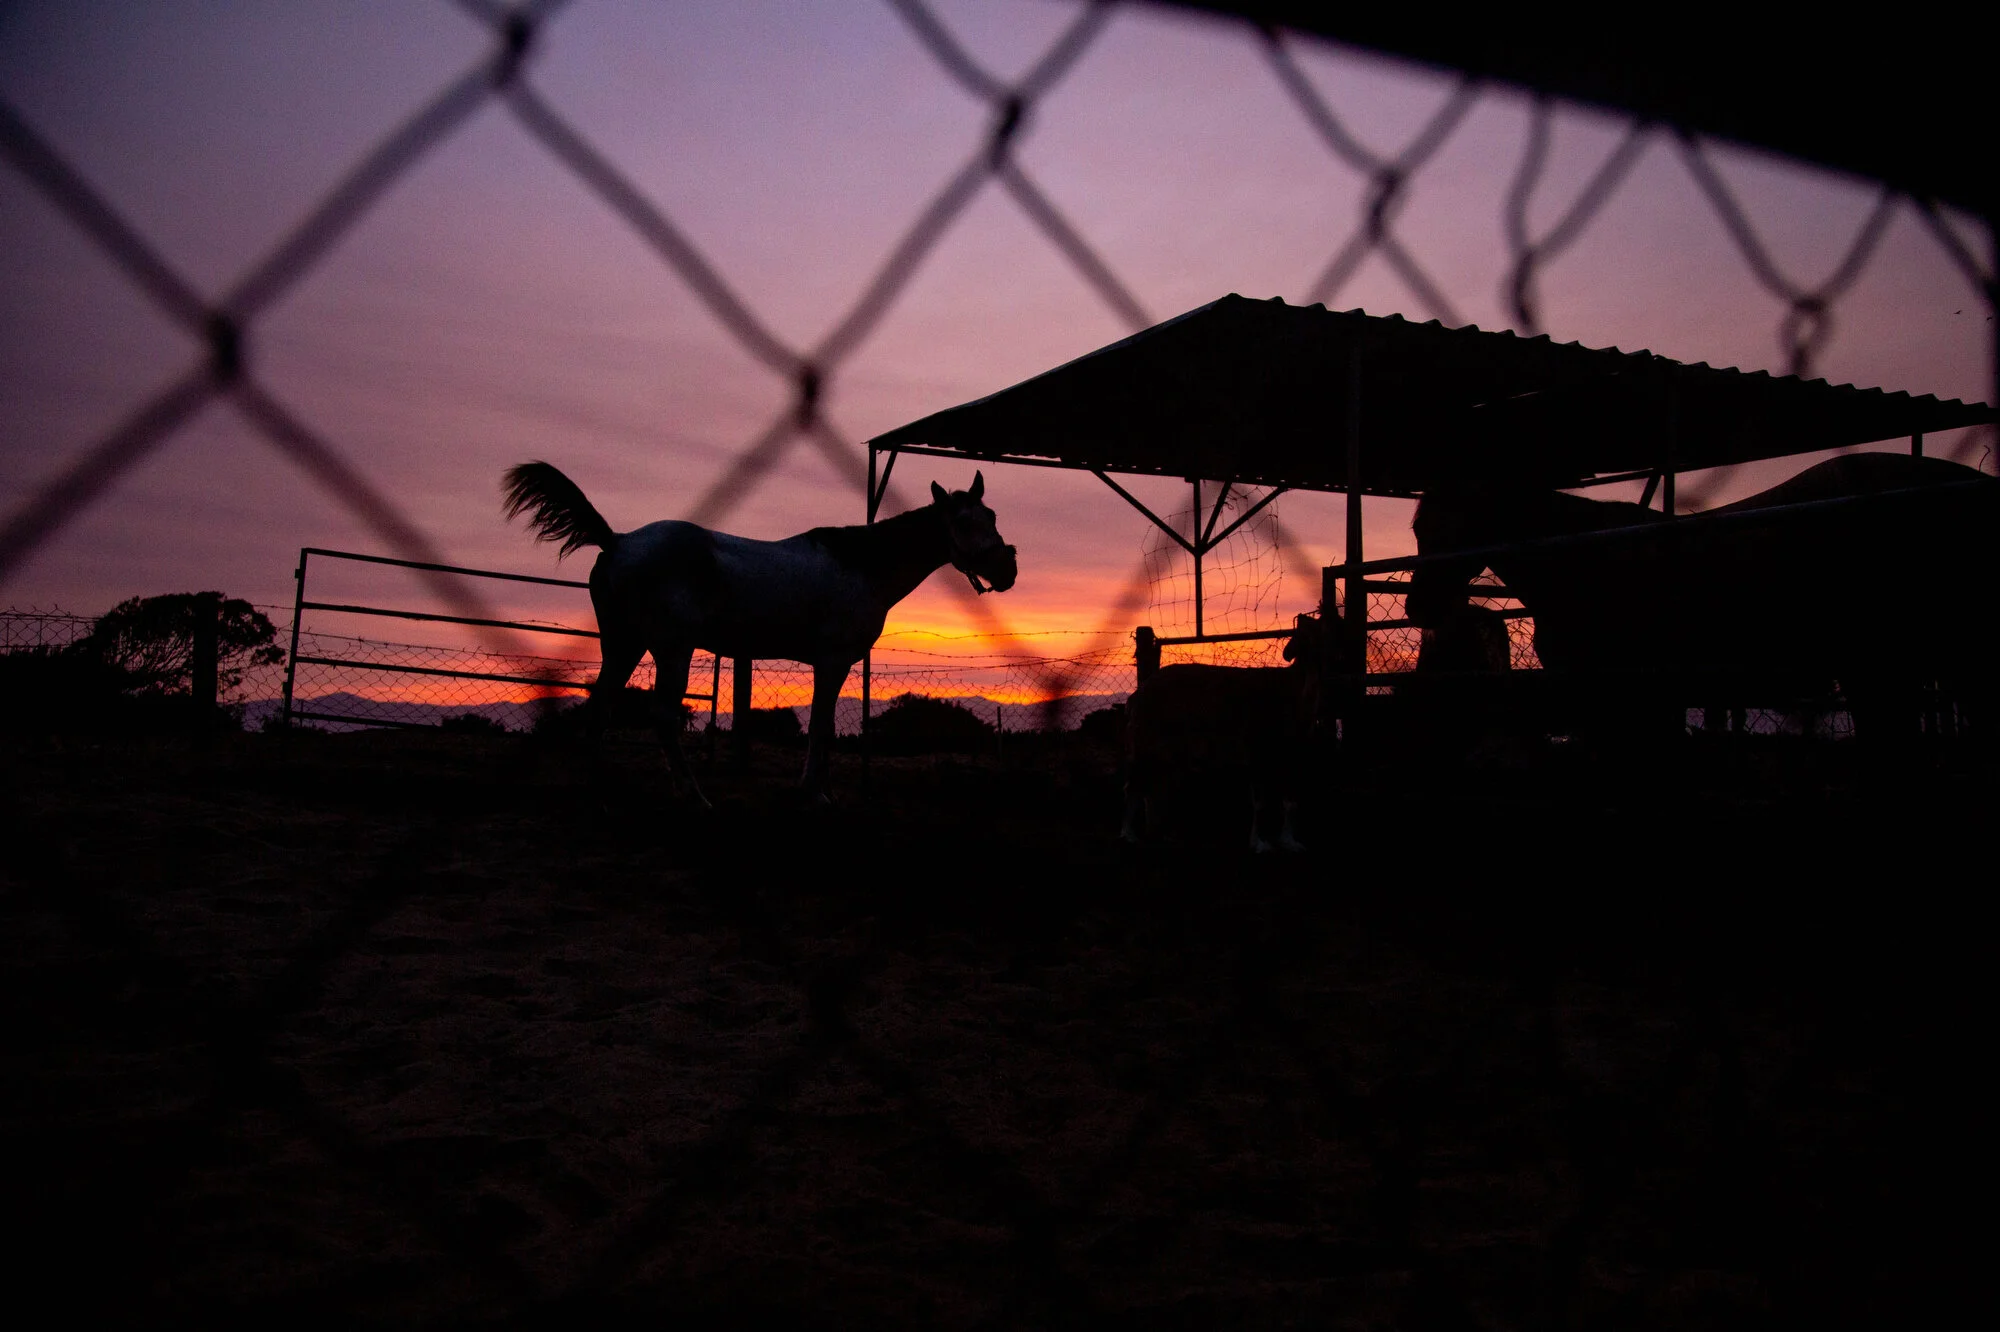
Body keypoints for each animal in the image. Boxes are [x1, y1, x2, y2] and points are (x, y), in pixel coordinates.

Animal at [503, 462, 1017, 802]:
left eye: (992, 517)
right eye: (962, 522)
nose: (1007, 570)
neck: (862, 566)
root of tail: (618, 541)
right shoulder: (831, 661)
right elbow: (821, 725)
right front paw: (814, 792)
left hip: (624, 644)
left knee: (601, 706)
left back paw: (596, 785)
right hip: (671, 648)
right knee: (662, 715)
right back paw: (693, 796)